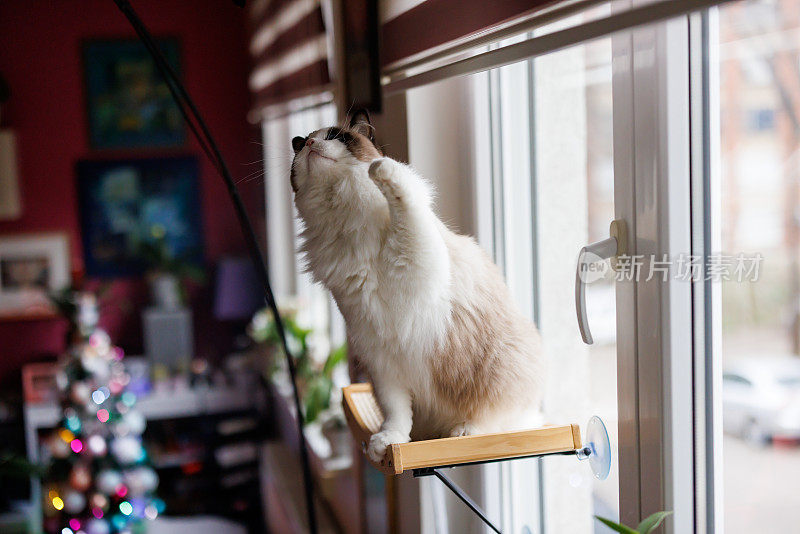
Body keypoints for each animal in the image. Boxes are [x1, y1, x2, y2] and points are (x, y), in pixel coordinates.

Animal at [290, 111, 548, 462]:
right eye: (303, 143)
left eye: (335, 136)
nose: (311, 144)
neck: (346, 227)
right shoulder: (381, 357)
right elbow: (396, 414)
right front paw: (388, 445)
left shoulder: (417, 256)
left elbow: (403, 195)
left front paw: (379, 169)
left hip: (504, 369)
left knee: (491, 419)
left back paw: (463, 432)